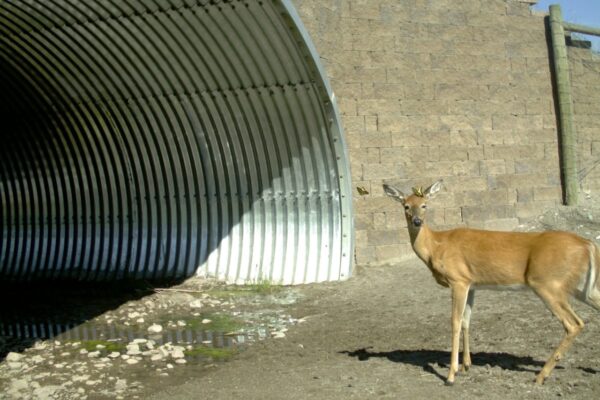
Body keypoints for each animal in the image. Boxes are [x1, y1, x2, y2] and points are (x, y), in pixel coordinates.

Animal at [384, 180, 600, 384]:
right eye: (406, 206)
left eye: (425, 205)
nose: (417, 221)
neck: (436, 247)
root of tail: (588, 244)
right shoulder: (471, 283)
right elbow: (466, 321)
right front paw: (466, 366)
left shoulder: (458, 279)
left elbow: (455, 321)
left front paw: (451, 375)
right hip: (581, 287)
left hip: (547, 284)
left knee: (574, 324)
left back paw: (541, 376)